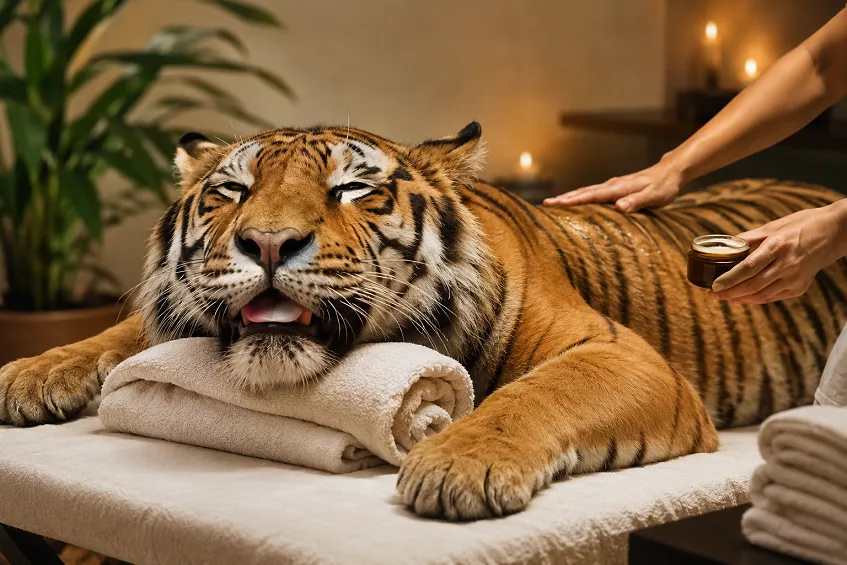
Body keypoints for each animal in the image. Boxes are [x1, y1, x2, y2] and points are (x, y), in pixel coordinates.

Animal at [1, 122, 845, 522]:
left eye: (350, 189)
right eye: (231, 192)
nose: (267, 241)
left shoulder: (617, 353)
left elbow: (534, 394)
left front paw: (456, 466)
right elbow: (123, 334)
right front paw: (29, 372)